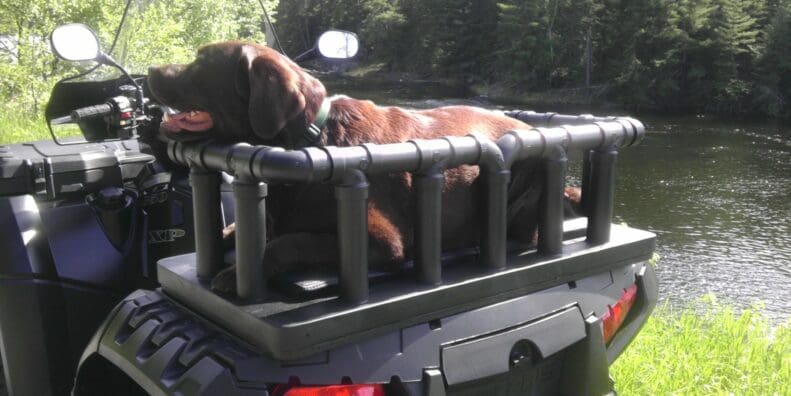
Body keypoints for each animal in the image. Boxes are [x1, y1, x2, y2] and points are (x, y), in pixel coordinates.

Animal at [148, 41, 580, 296]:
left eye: (201, 63)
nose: (150, 70)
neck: (310, 140)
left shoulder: (383, 242)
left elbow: (288, 241)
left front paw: (231, 274)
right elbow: (239, 228)